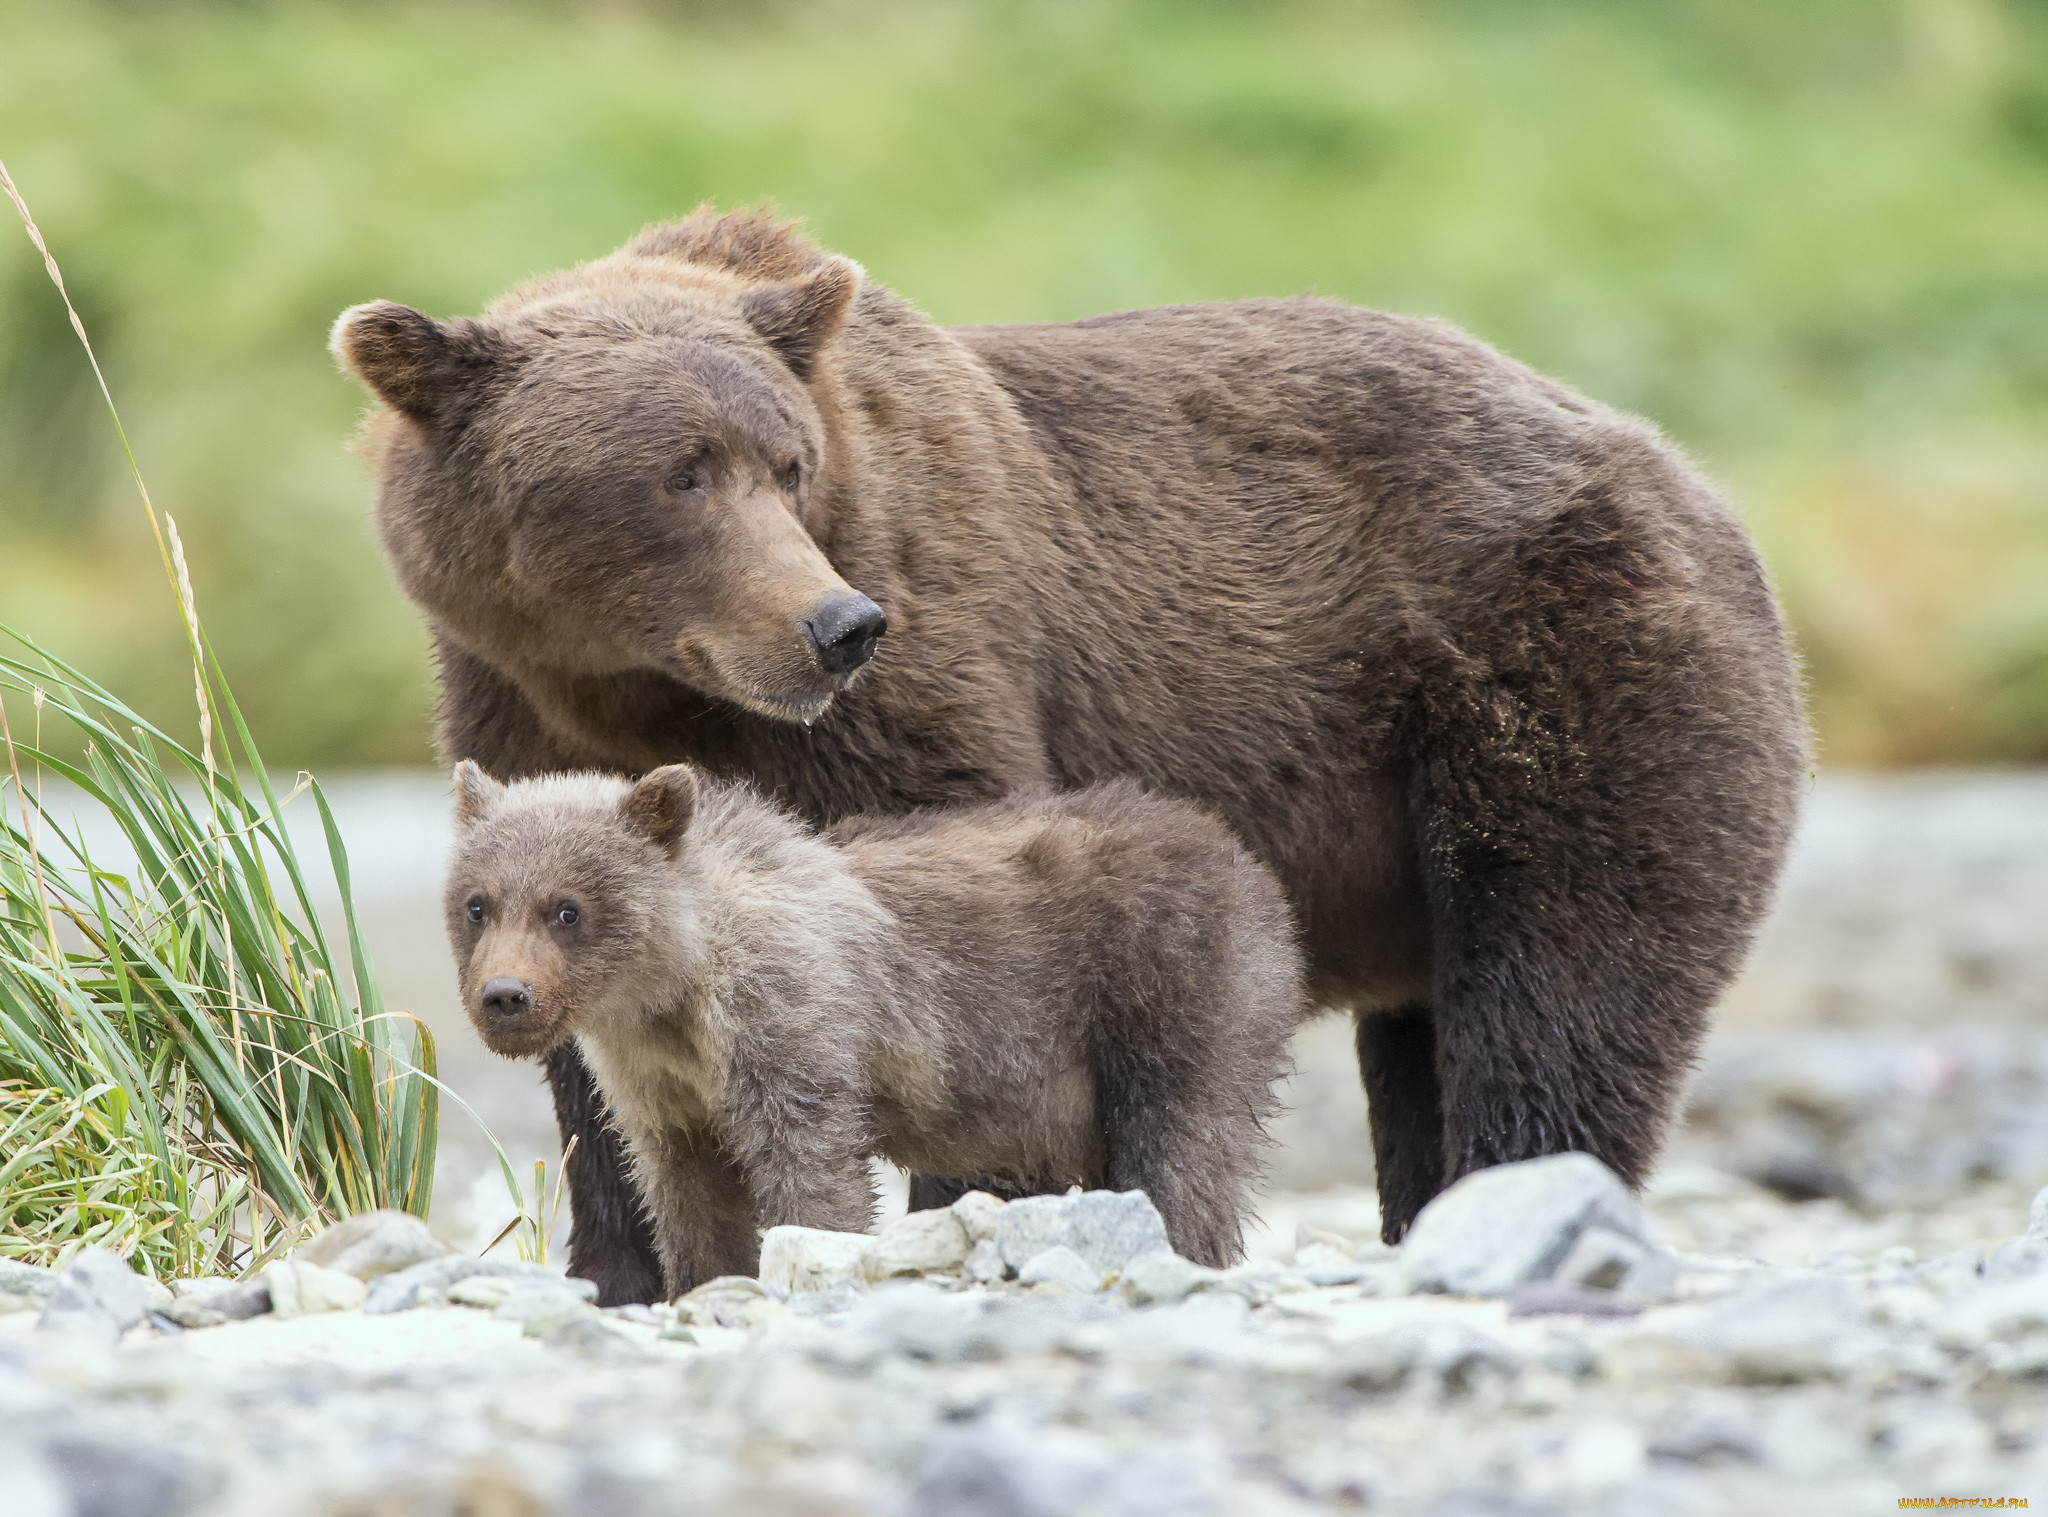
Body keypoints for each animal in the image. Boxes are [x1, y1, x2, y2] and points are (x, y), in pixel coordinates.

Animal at [331, 209, 1810, 1302]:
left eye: (785, 464)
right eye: (681, 474)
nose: (836, 626)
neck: (644, 690)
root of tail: (1698, 484)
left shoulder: (934, 669)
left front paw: (963, 1215)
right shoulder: (515, 712)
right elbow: (601, 1060)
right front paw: (625, 1263)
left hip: (1554, 689)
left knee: (1558, 989)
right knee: (1428, 1029)